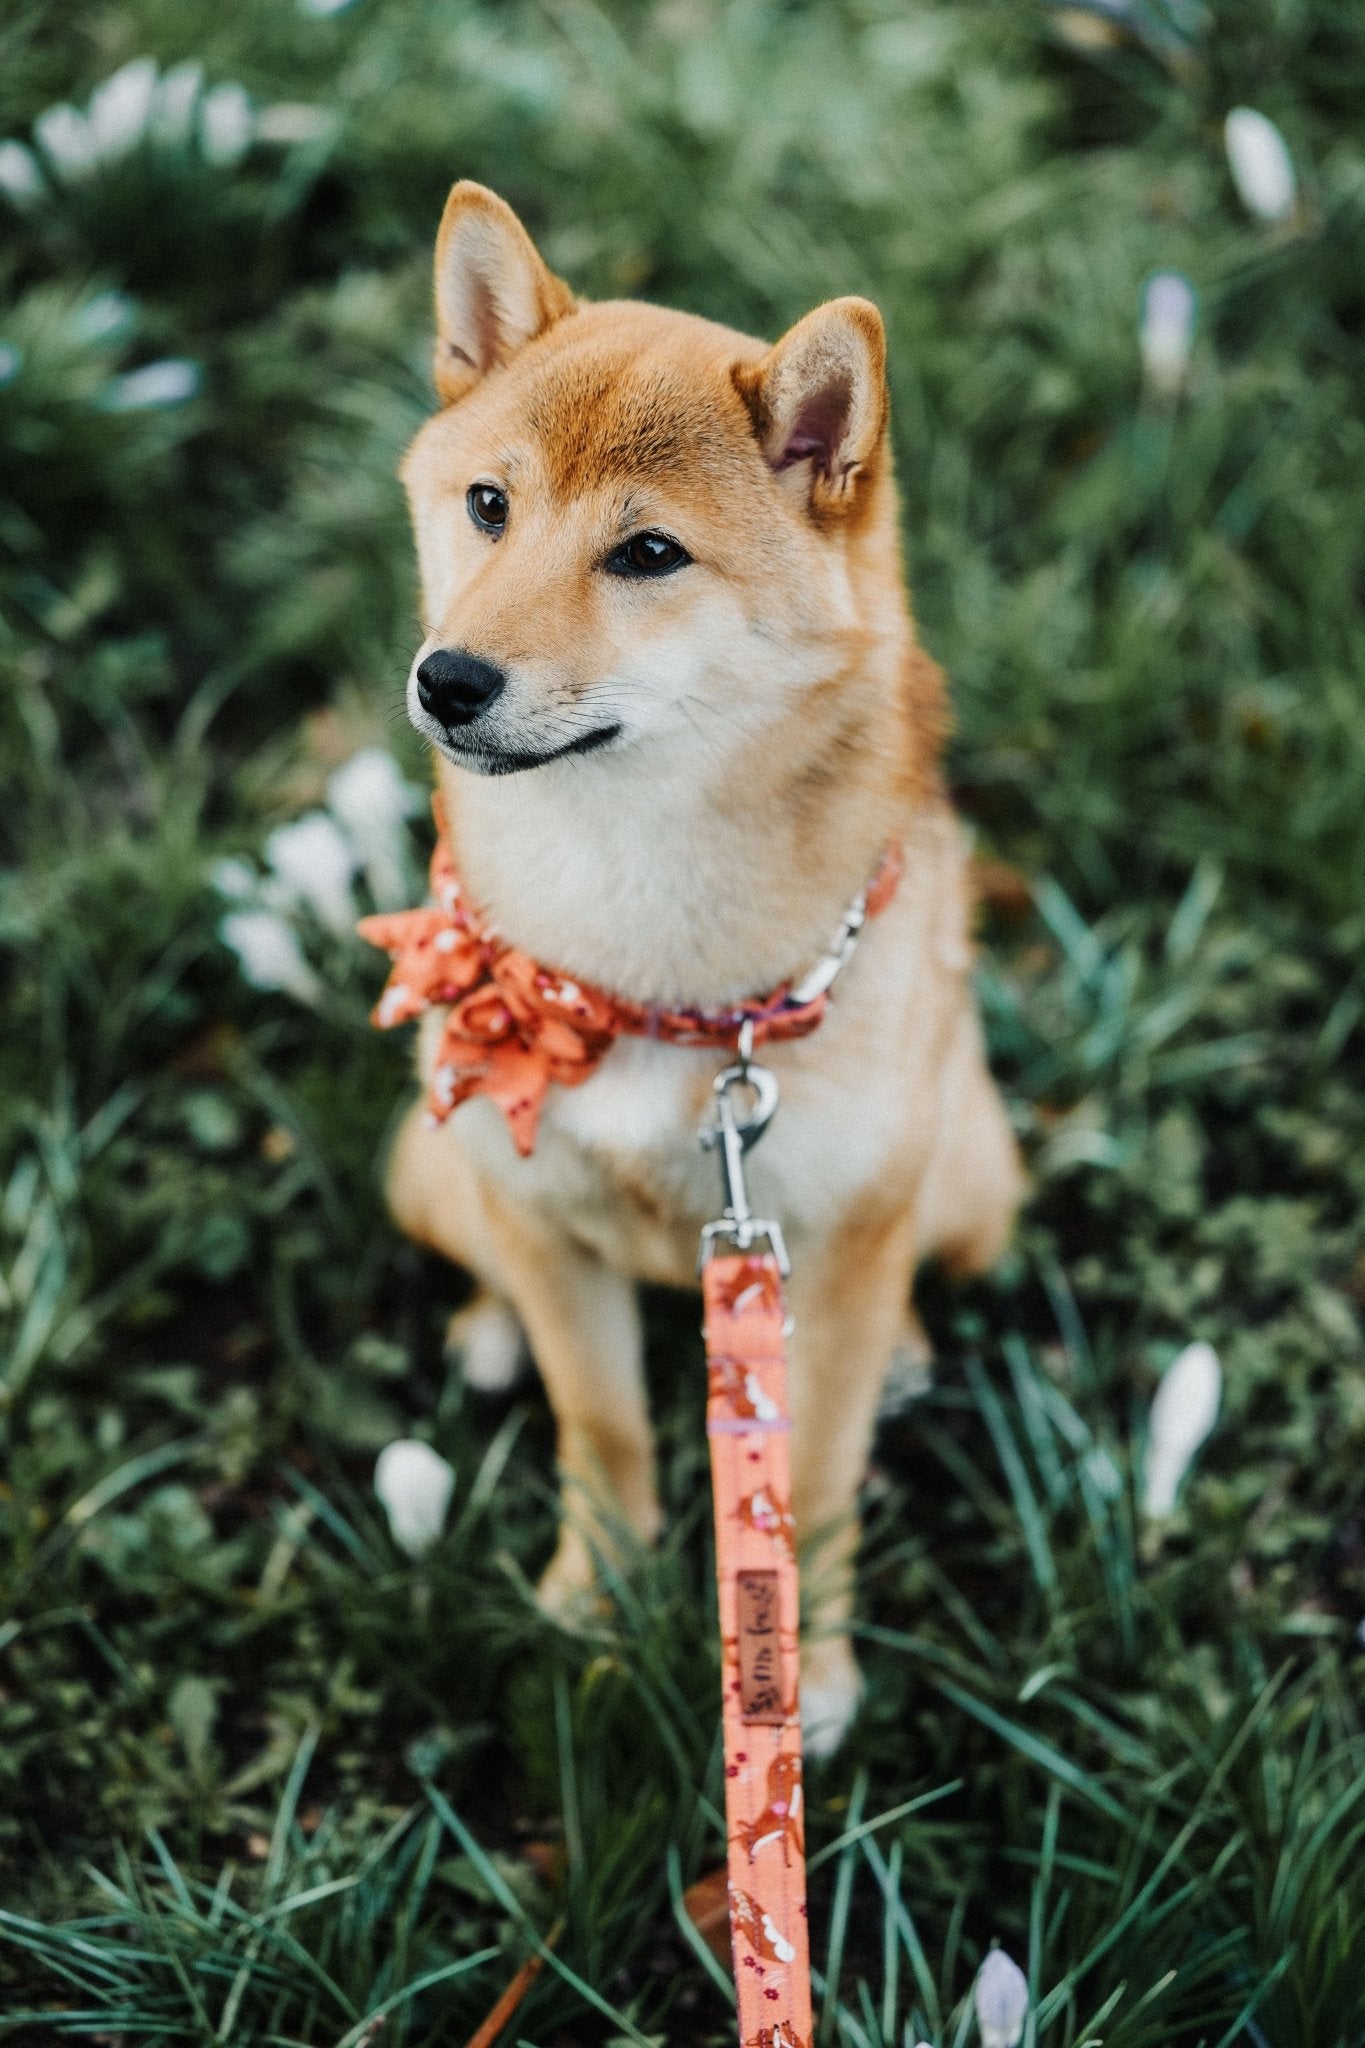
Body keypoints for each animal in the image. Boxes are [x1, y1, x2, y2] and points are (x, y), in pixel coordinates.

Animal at [382, 181, 1023, 1756]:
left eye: (650, 554)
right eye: (488, 505)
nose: (449, 679)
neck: (641, 971)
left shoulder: (829, 1244)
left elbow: (821, 1479)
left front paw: (815, 1675)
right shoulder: (547, 1213)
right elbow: (600, 1423)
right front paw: (595, 1597)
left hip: (971, 1173)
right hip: (433, 1159)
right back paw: (485, 1328)